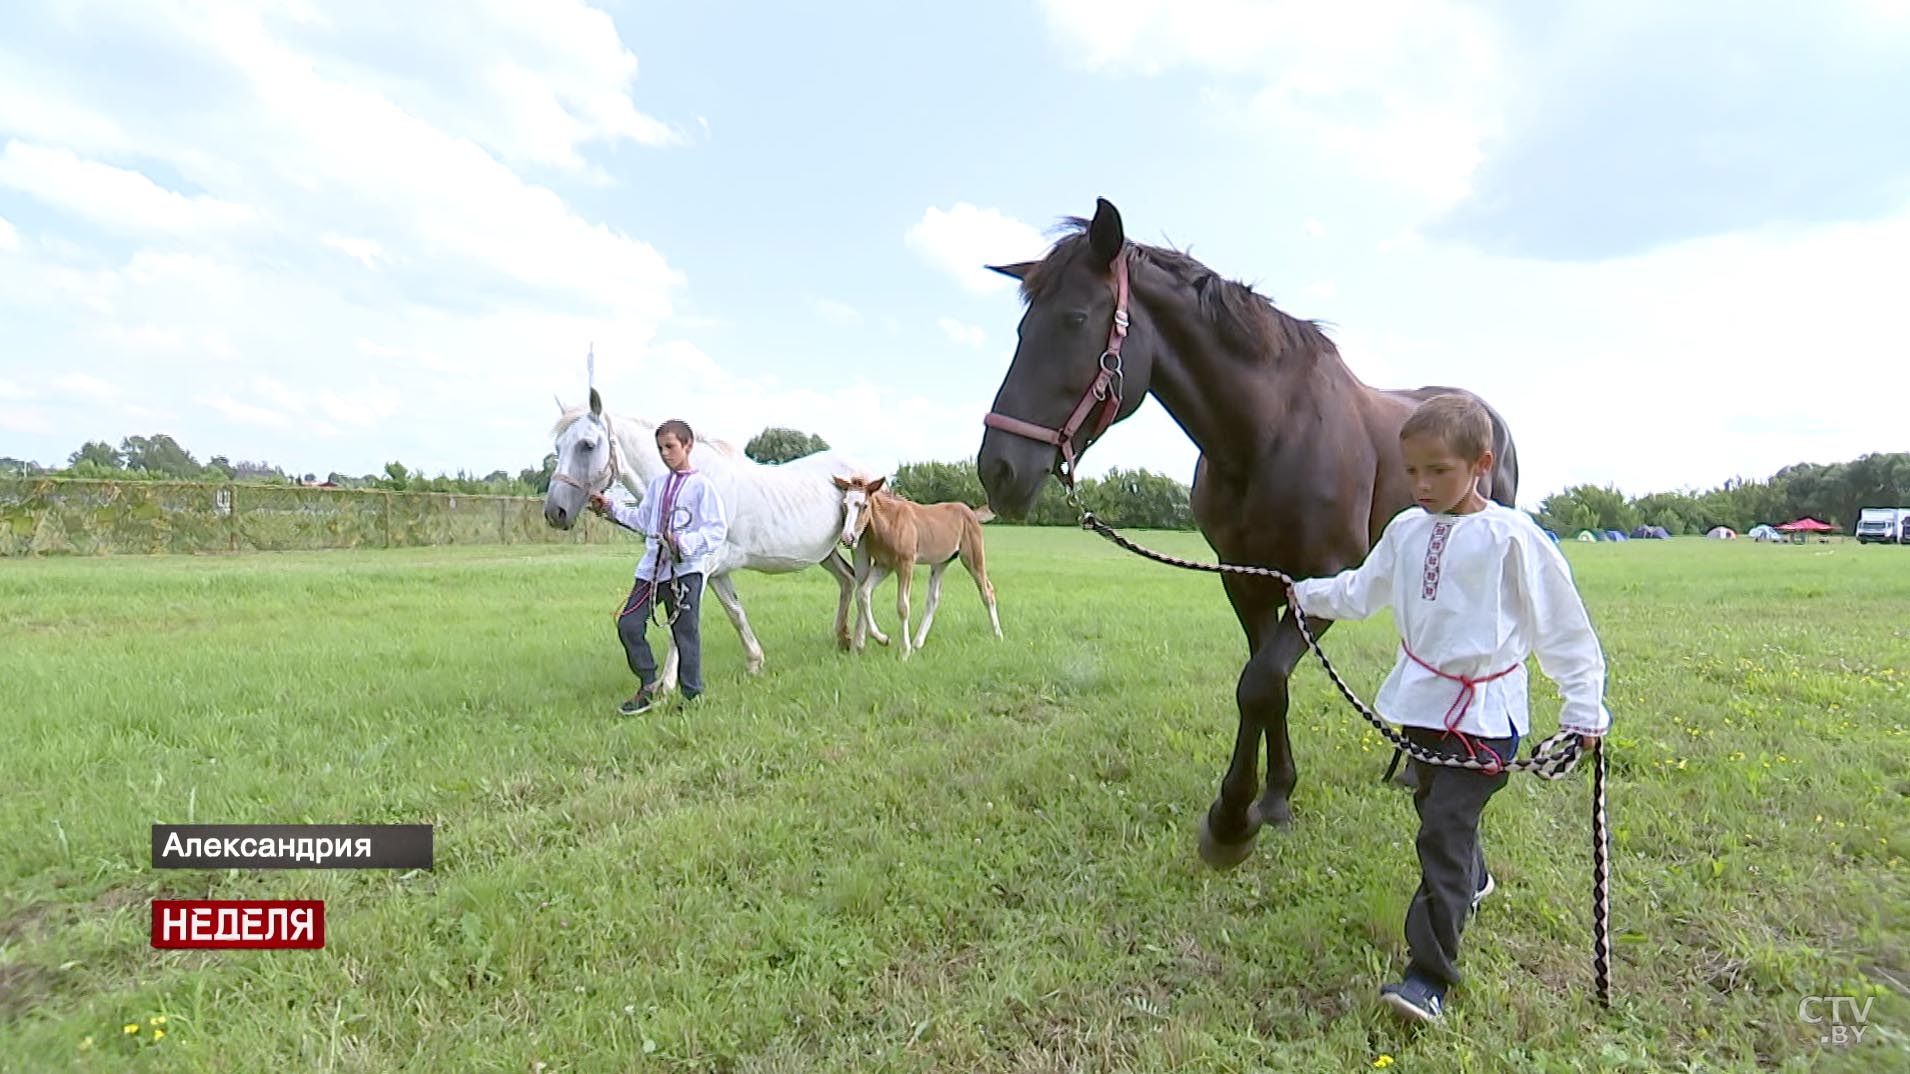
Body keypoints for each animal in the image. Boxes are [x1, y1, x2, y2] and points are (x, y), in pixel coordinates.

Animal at [542, 387, 863, 687]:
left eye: (587, 445)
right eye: (558, 446)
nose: (555, 512)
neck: (697, 480)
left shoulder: (698, 570)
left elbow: (681, 624)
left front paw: (665, 687)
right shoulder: (716, 573)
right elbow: (735, 612)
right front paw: (755, 663)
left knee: (861, 587)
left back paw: (861, 641)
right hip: (826, 552)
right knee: (847, 581)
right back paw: (843, 639)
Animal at [977, 200, 1512, 863]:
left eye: (1076, 319)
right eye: (1023, 331)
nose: (998, 469)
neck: (1270, 434)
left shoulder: (1328, 578)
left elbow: (1259, 683)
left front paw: (1231, 821)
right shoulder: (1246, 579)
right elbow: (1268, 686)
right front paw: (1274, 799)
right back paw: (1413, 765)